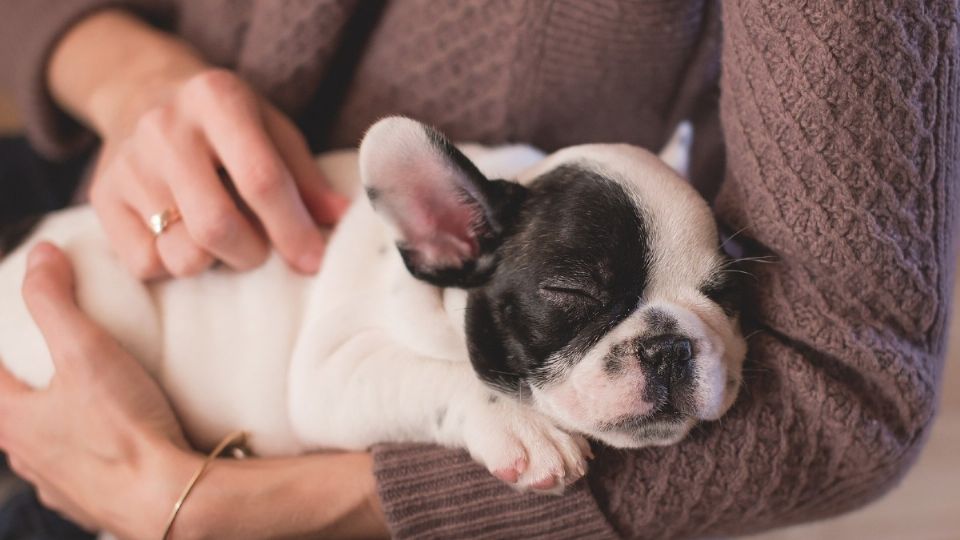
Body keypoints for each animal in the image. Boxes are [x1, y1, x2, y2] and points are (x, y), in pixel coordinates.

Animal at [0, 118, 752, 494]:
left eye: (726, 294)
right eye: (571, 293)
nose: (670, 345)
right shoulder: (332, 370)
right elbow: (438, 375)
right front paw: (520, 427)